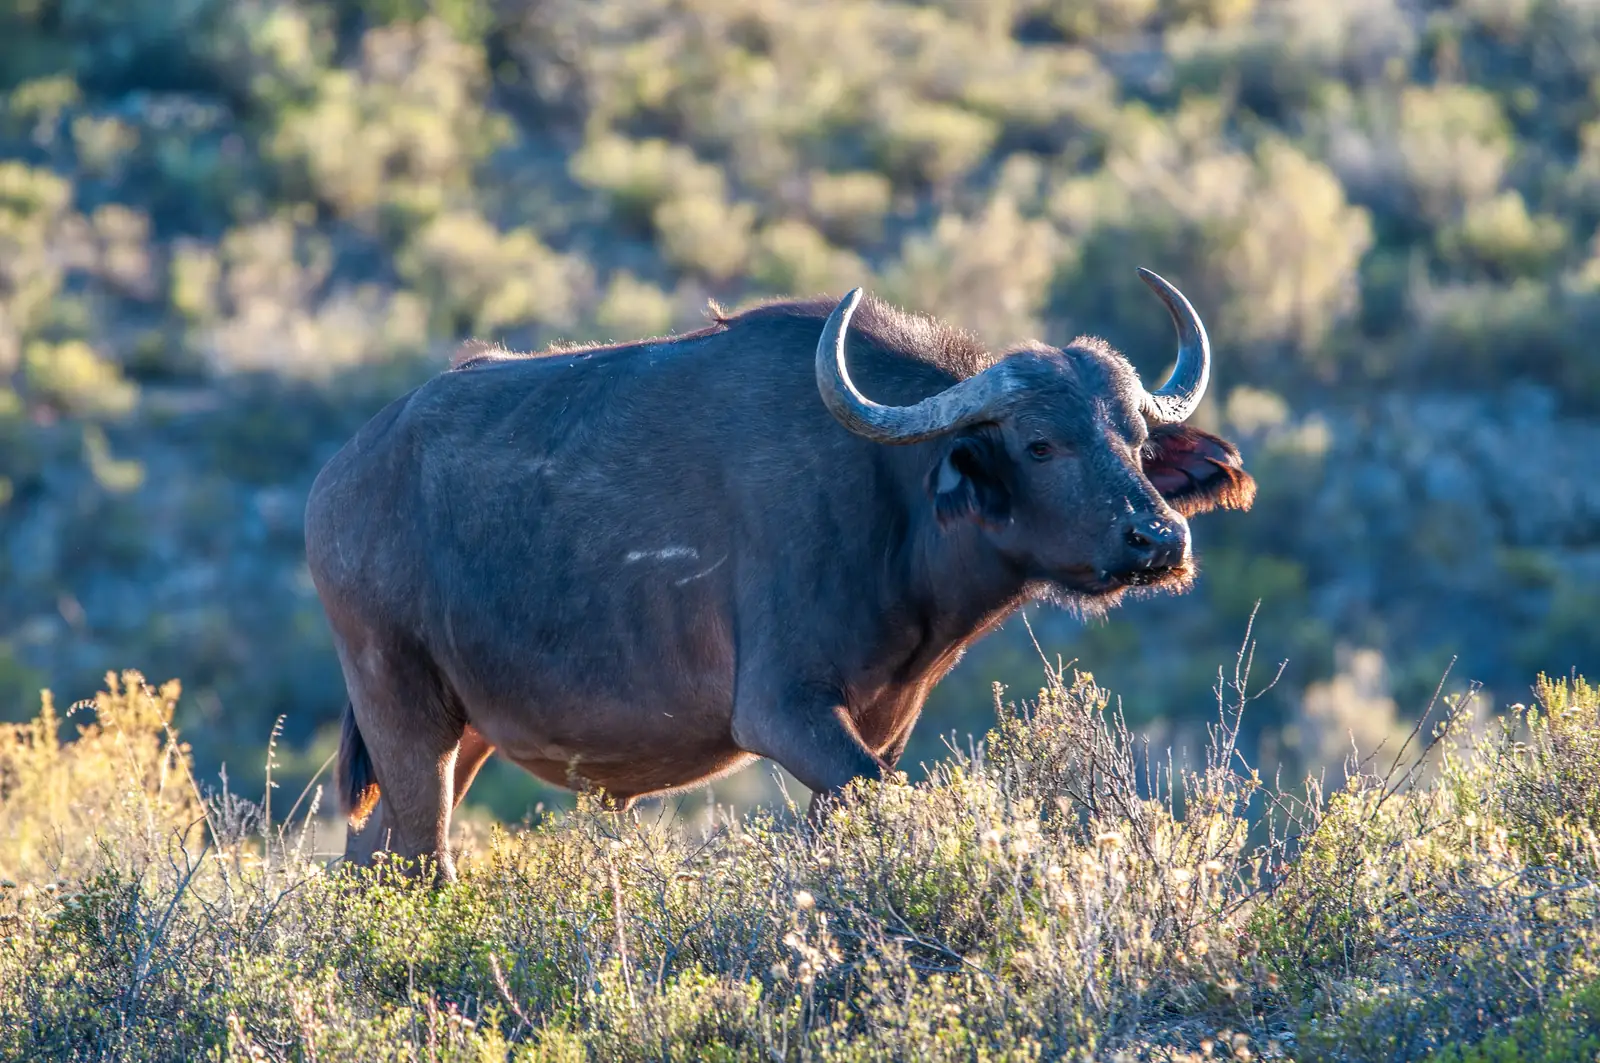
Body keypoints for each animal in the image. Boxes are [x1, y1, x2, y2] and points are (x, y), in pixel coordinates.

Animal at [304, 270, 1255, 879]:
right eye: (1040, 442)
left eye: (1135, 438)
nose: (1157, 538)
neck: (892, 501)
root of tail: (341, 478)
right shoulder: (784, 710)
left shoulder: (879, 723)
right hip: (405, 710)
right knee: (423, 857)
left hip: (463, 731)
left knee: (373, 855)